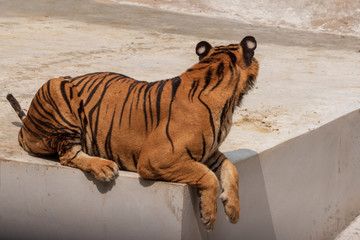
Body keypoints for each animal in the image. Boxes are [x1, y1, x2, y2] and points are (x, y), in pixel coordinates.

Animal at [5, 36, 258, 231]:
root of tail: (26, 124)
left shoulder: (209, 152)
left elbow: (230, 168)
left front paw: (233, 210)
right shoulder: (157, 158)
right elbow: (207, 175)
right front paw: (208, 216)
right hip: (58, 88)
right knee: (68, 154)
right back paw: (105, 168)